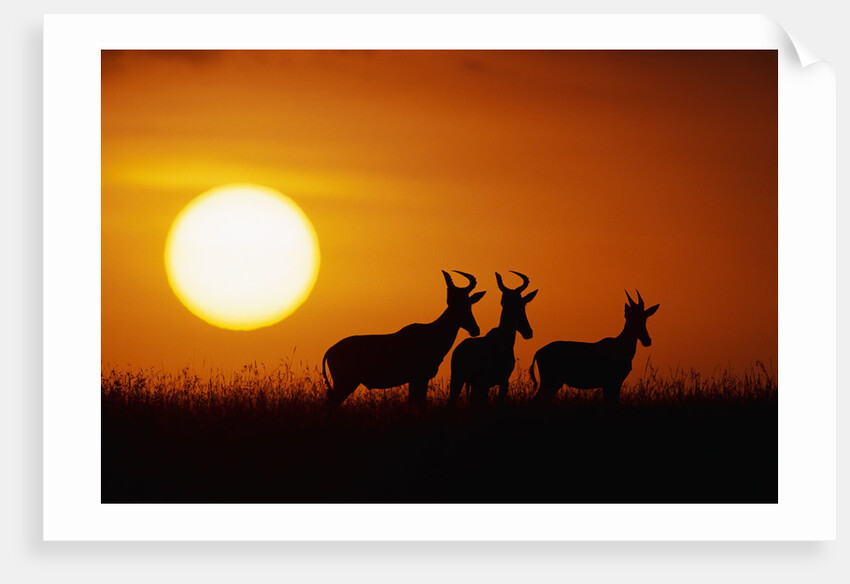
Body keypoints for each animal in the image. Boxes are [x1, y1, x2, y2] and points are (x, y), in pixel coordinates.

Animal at [322, 271, 485, 409]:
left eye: (469, 304)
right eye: (455, 304)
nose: (475, 330)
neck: (430, 332)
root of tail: (330, 350)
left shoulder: (418, 380)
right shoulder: (418, 378)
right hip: (345, 384)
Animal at [449, 272, 537, 407]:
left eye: (523, 303)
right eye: (504, 302)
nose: (528, 332)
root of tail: (458, 348)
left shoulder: (503, 382)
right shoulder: (484, 383)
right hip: (458, 379)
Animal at [531, 290, 659, 407]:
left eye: (645, 318)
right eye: (632, 318)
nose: (647, 340)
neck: (619, 346)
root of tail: (538, 352)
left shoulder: (612, 384)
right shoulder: (611, 383)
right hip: (551, 381)